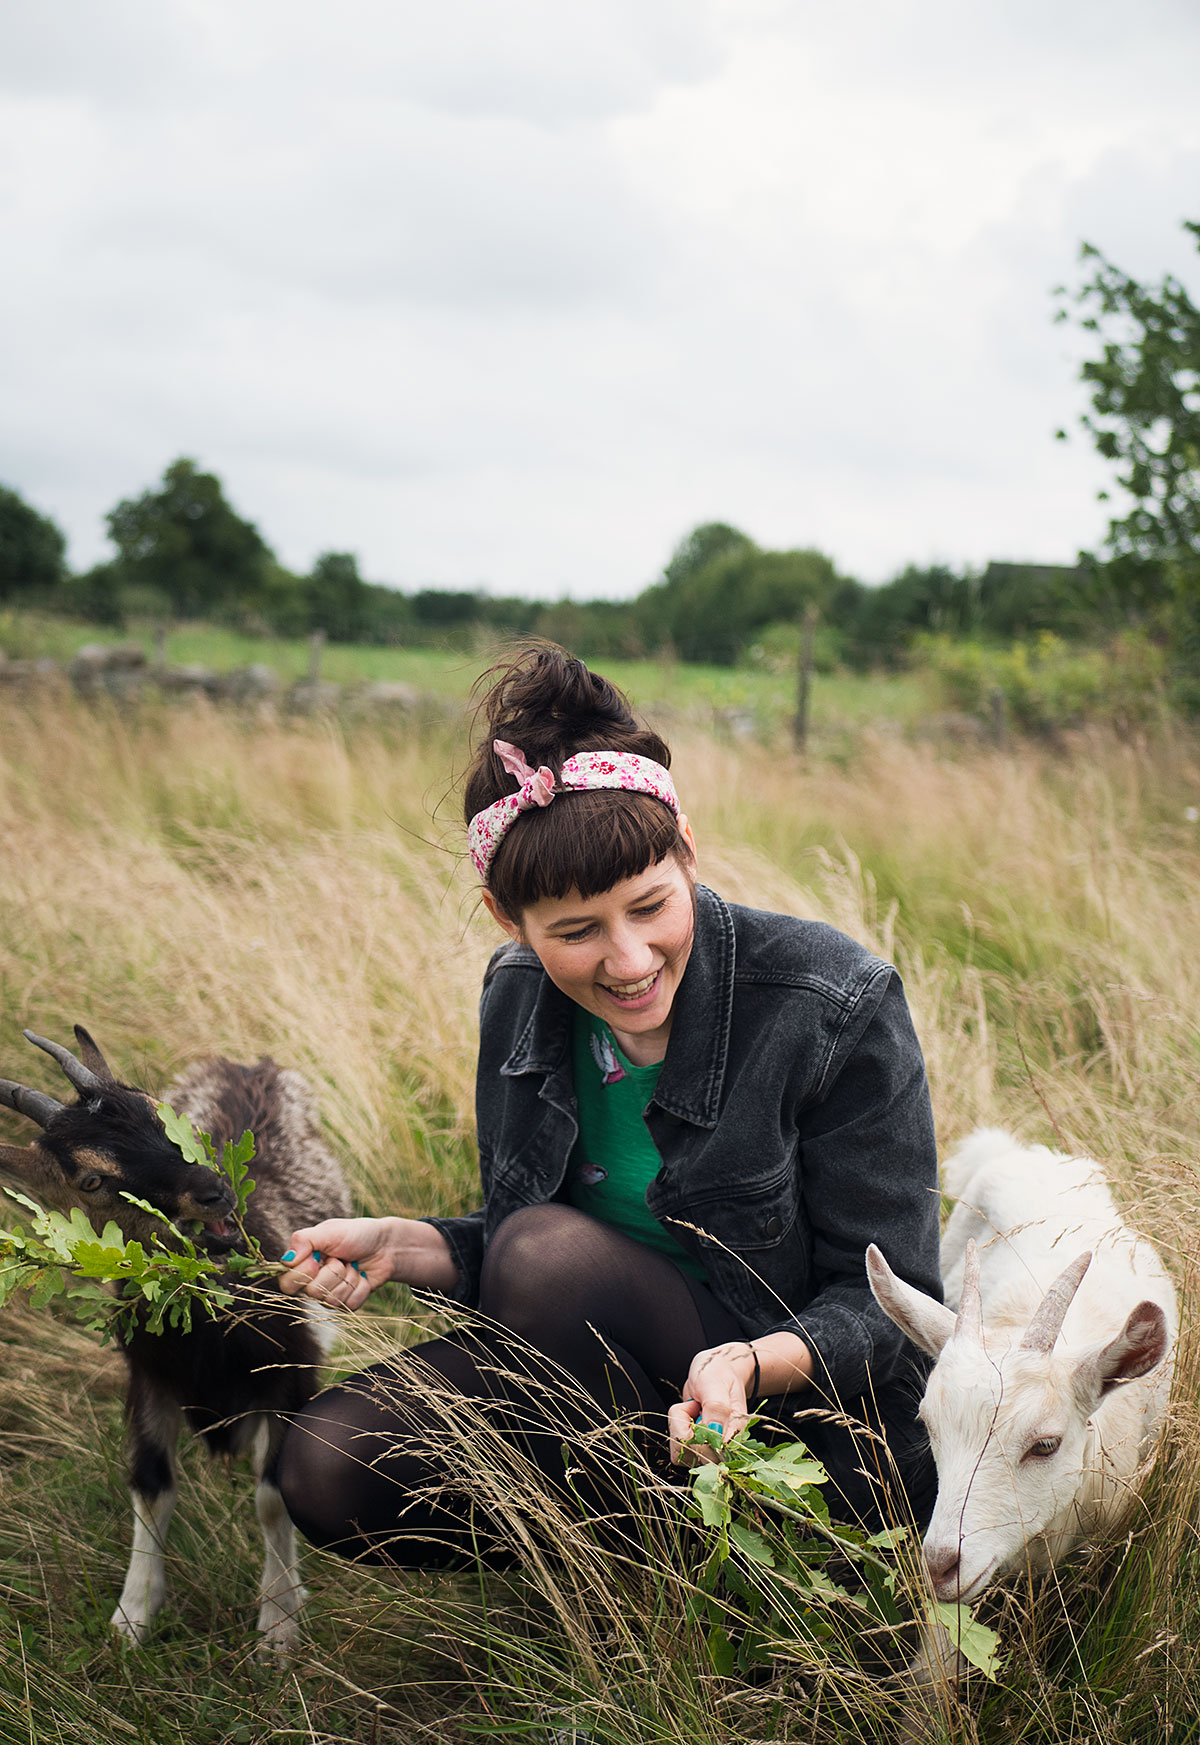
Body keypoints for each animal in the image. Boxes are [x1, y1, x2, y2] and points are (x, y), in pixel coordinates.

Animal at [0, 1026, 348, 1654]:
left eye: (161, 1113)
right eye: (91, 1180)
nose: (215, 1190)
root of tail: (249, 1064)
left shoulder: (292, 1372)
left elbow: (272, 1495)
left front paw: (279, 1623)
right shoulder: (149, 1378)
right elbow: (151, 1483)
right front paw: (133, 1614)